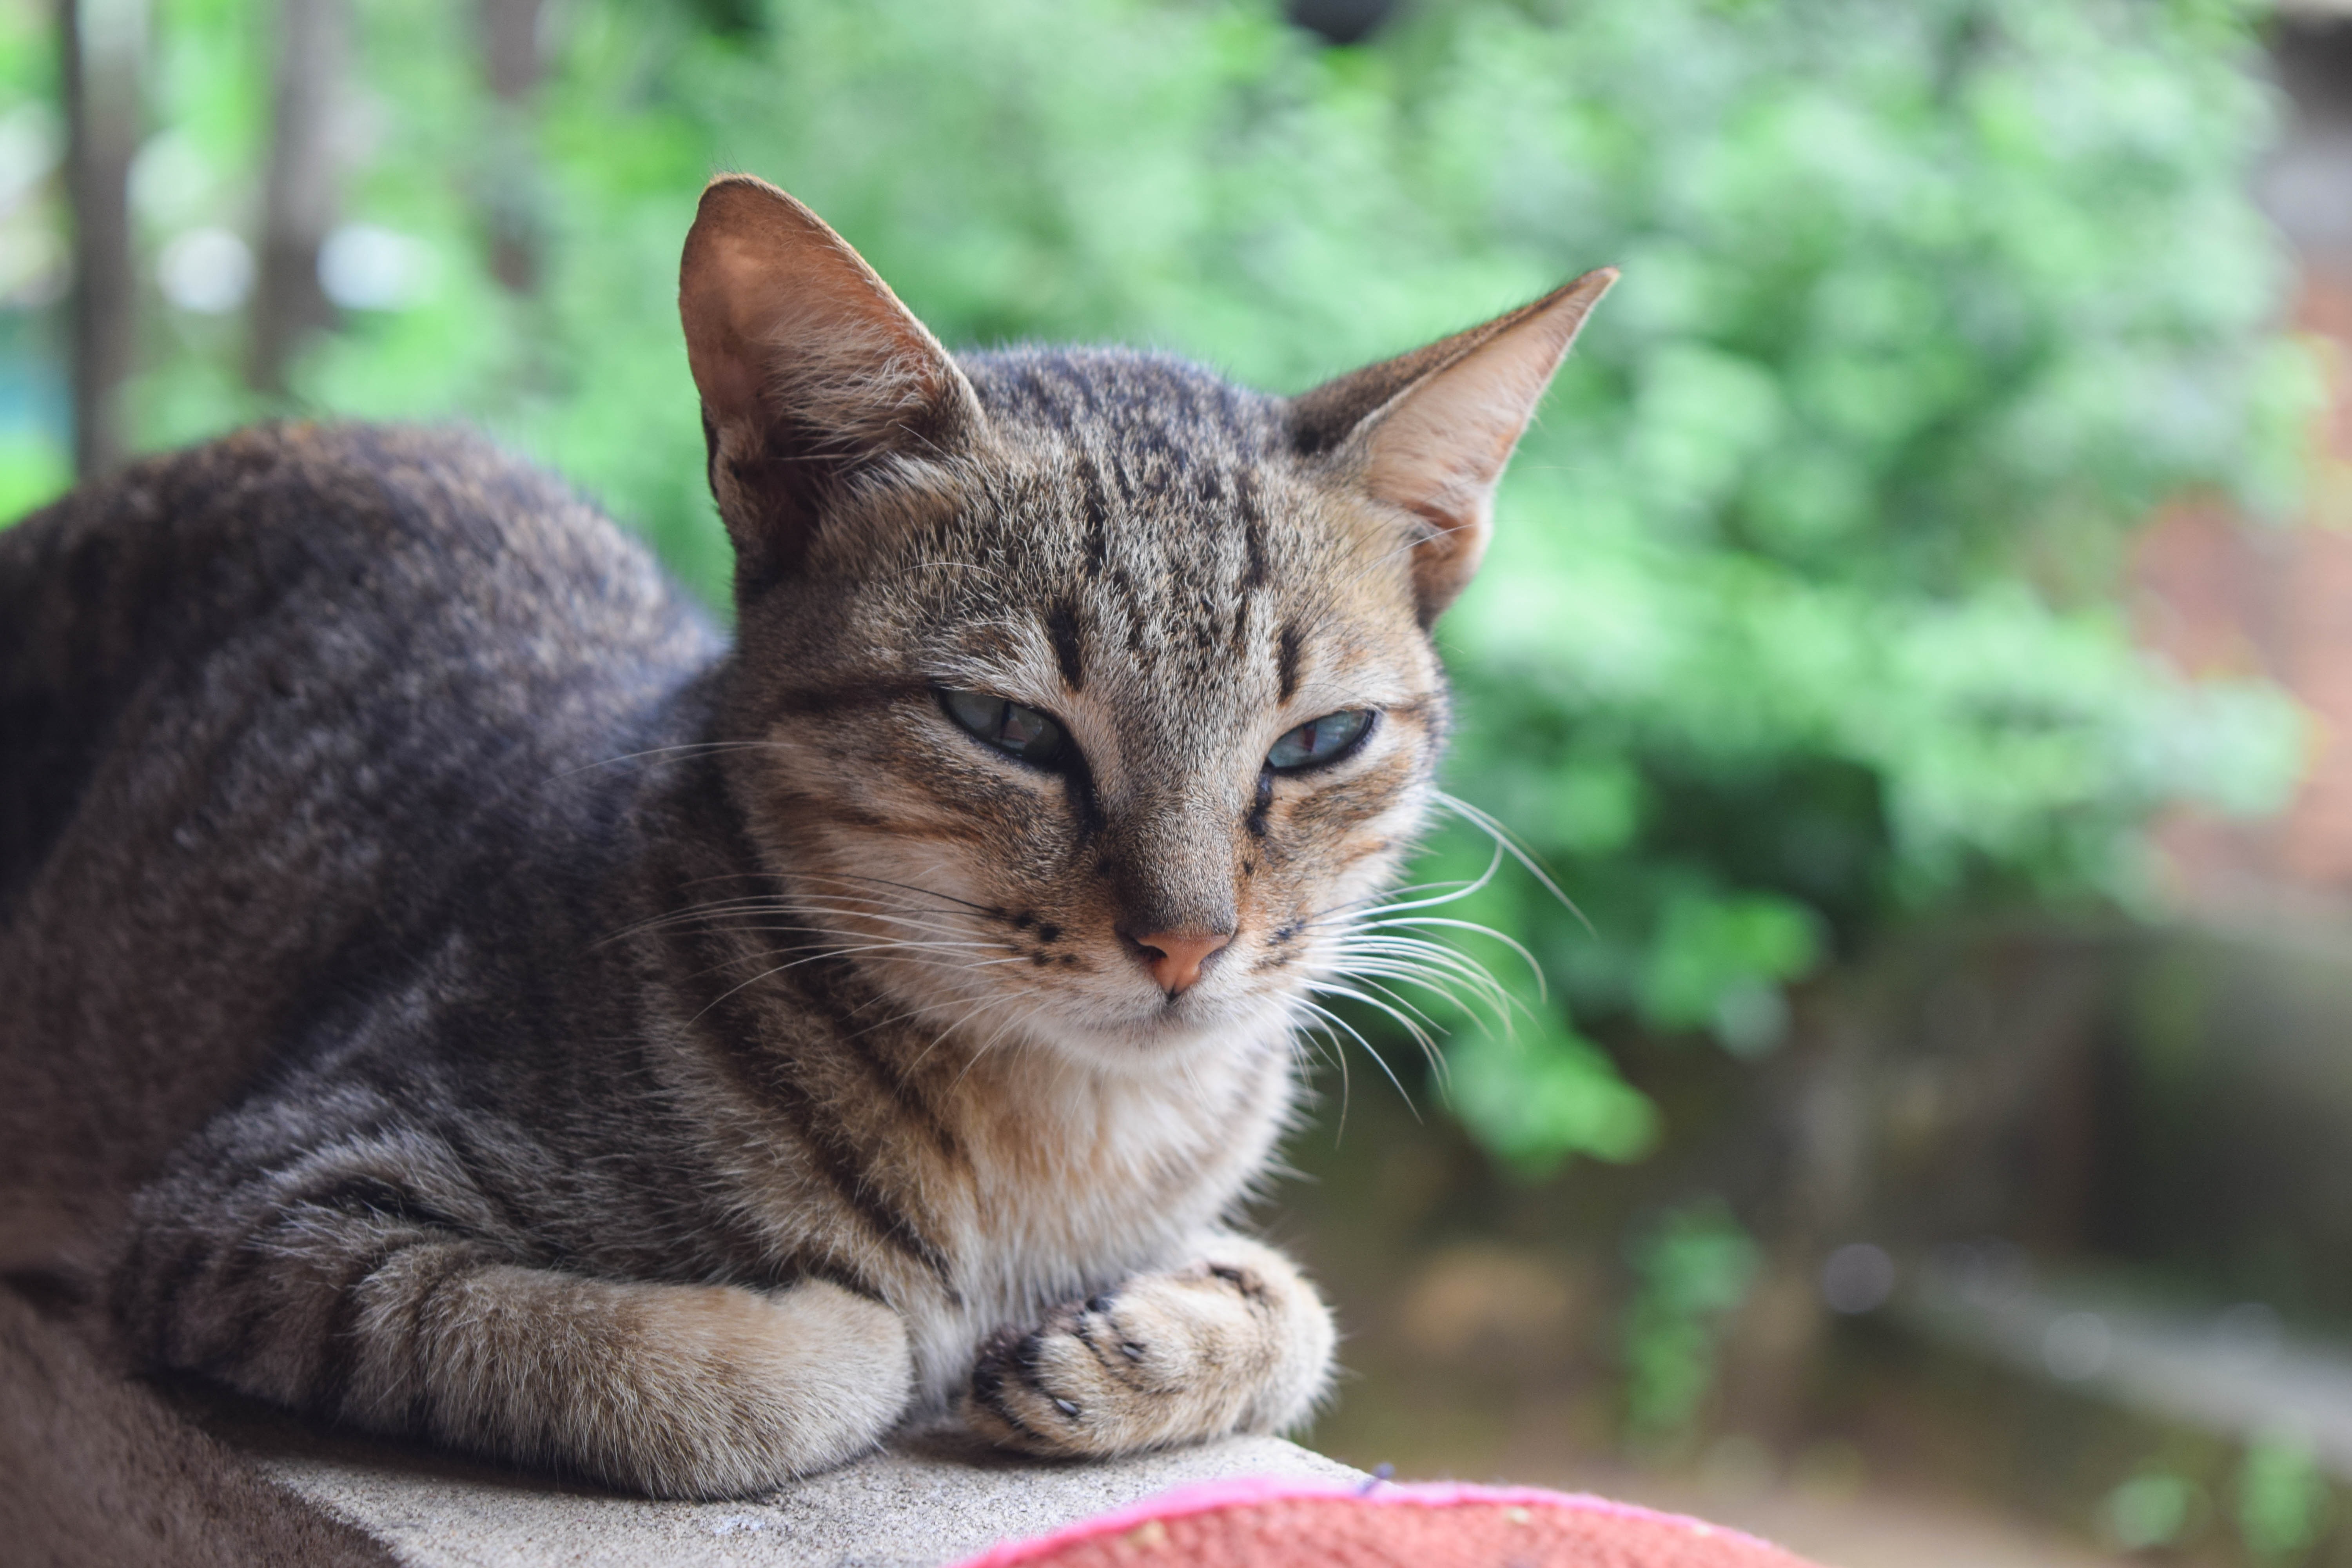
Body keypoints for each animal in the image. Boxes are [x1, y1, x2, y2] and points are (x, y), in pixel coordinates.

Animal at [0, 169, 1618, 1495]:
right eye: (1010, 727)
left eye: (1318, 742)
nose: (1186, 942)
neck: (1063, 1149)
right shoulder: (270, 1212)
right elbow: (674, 1360)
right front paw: (868, 1333)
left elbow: (1296, 1306)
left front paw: (1147, 1339)